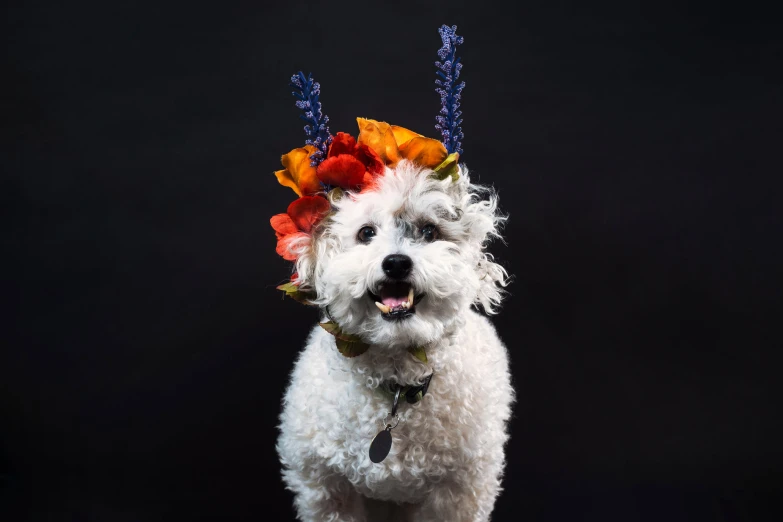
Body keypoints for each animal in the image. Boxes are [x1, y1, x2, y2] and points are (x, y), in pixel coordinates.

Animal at [278, 159, 516, 520]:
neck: (397, 385)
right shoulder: (325, 488)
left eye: (429, 232)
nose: (396, 263)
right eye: (366, 233)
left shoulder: (459, 492)